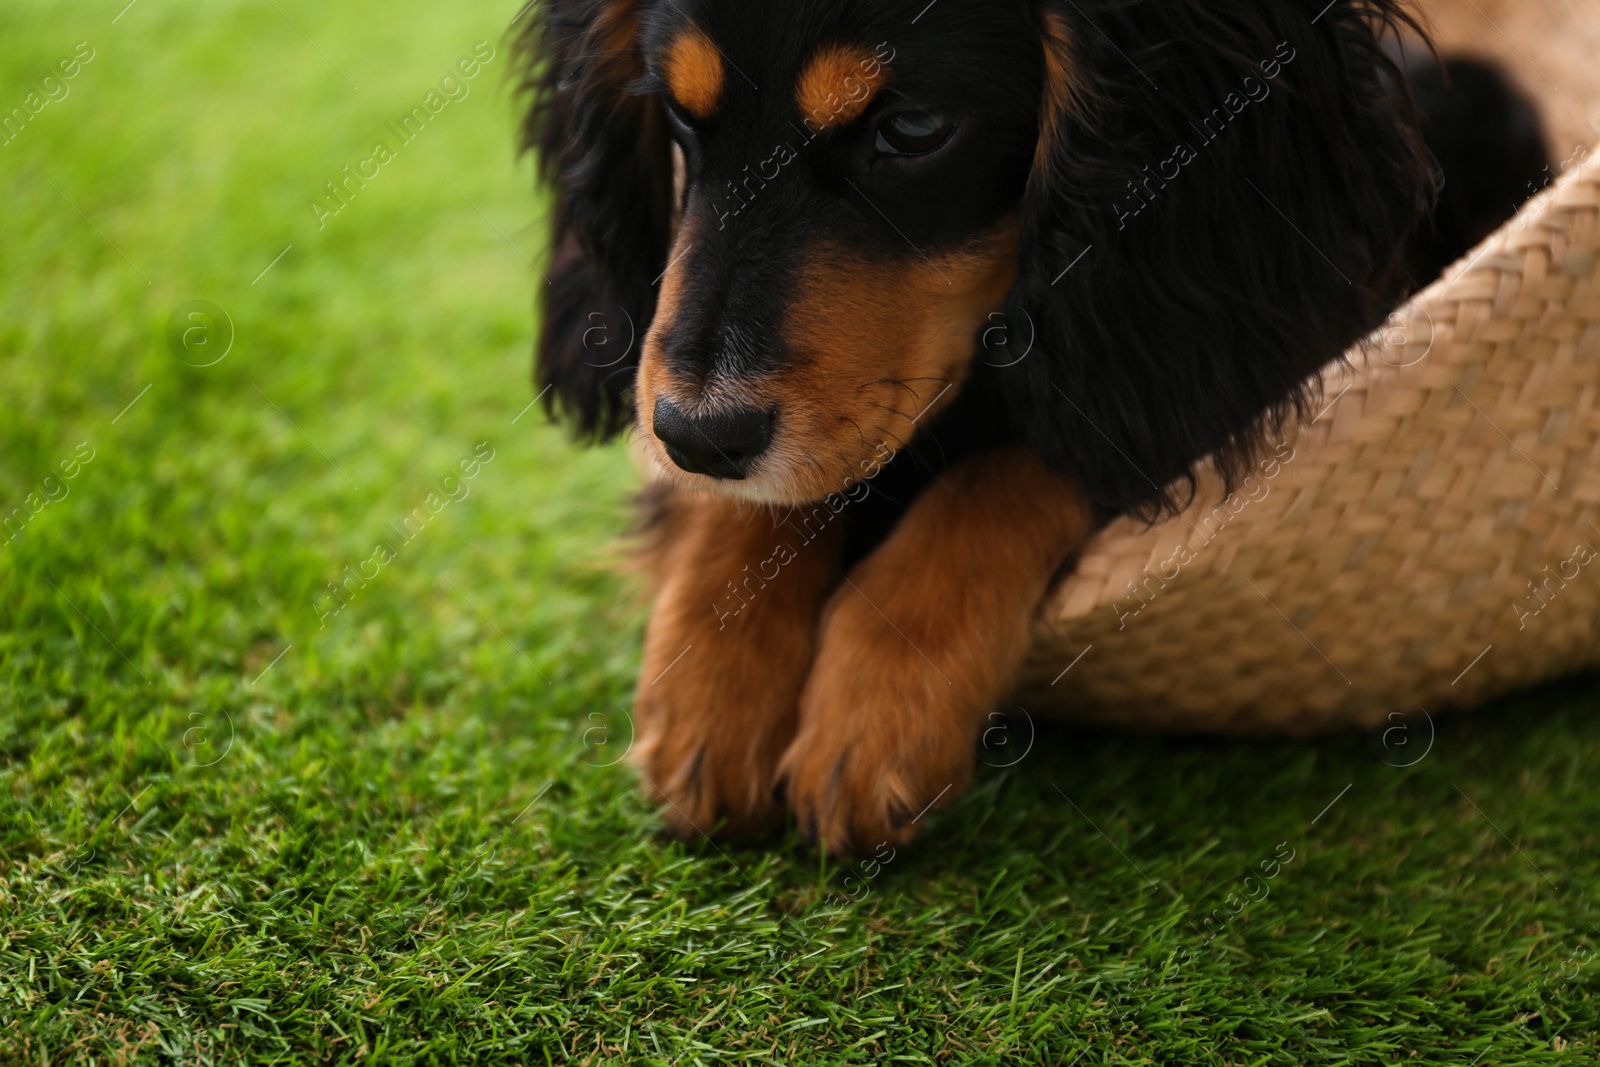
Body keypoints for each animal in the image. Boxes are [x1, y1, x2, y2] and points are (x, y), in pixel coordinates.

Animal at [515, 0, 1548, 857]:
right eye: (681, 116)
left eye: (913, 130)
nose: (695, 431)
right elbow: (769, 486)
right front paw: (710, 690)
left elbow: (1028, 454)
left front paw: (877, 709)